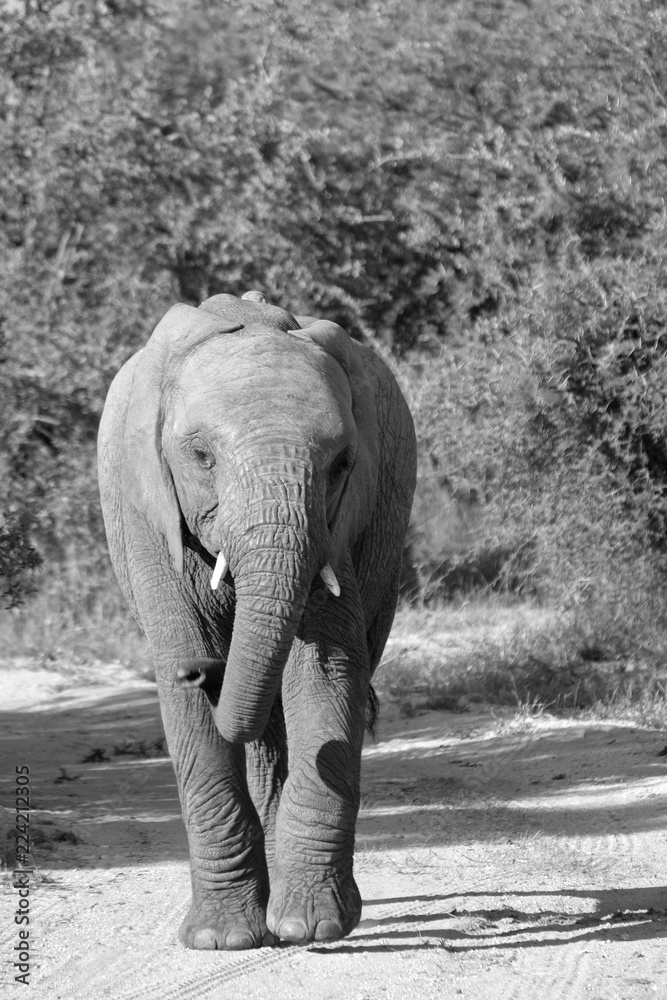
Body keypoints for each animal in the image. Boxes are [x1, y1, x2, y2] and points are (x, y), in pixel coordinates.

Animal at [98, 292, 418, 952]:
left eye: (342, 464)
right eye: (200, 456)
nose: (203, 672)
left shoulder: (335, 529)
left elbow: (327, 669)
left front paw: (311, 927)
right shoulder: (147, 515)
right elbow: (189, 691)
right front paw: (221, 940)